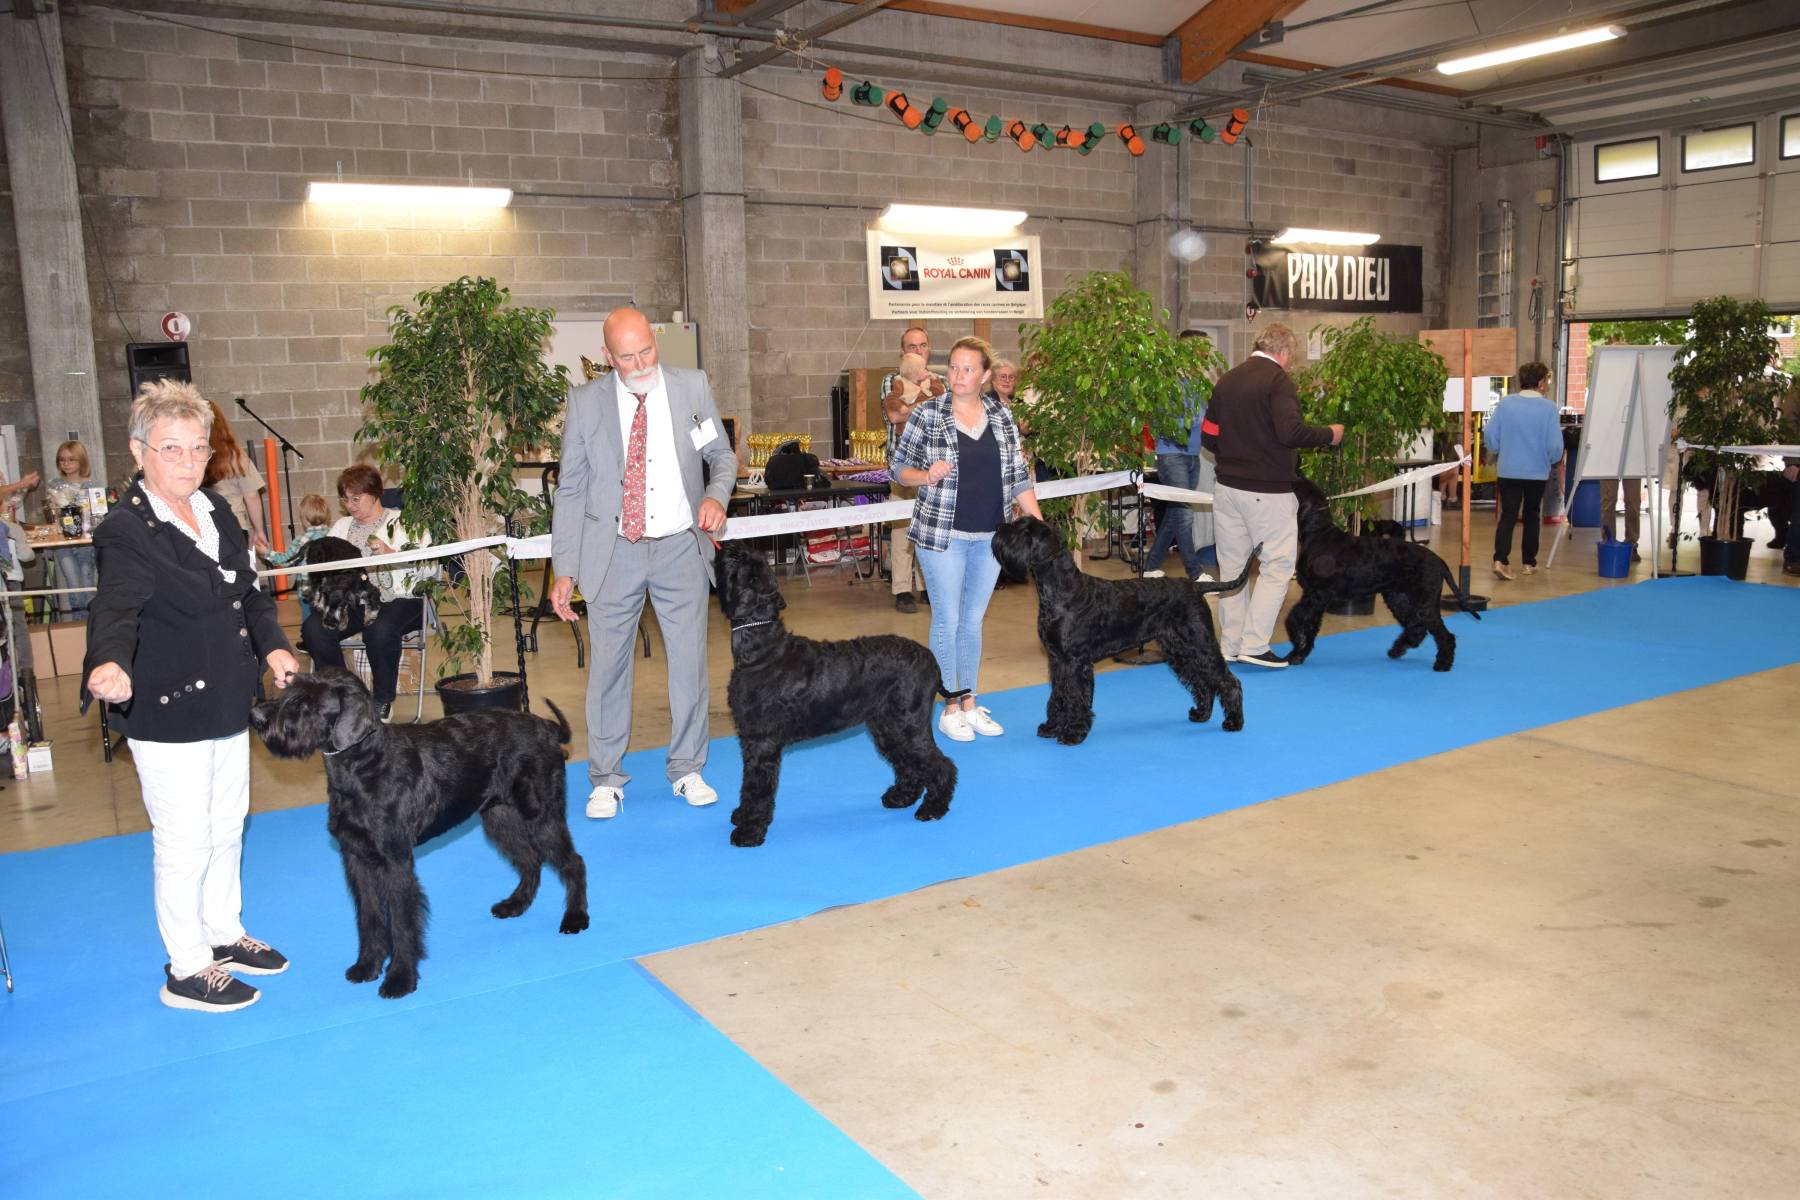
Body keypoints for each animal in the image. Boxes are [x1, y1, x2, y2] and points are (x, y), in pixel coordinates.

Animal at [250, 669, 587, 998]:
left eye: (306, 703)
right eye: (290, 687)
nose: (256, 716)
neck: (362, 764)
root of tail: (546, 727)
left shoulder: (396, 862)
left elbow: (400, 922)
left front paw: (400, 979)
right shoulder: (356, 858)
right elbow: (368, 917)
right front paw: (367, 965)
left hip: (542, 818)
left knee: (573, 862)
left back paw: (575, 918)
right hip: (499, 818)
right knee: (530, 860)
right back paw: (515, 905)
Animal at [715, 543, 956, 848]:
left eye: (746, 567)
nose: (734, 547)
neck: (761, 649)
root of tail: (931, 660)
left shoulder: (761, 743)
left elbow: (755, 788)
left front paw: (749, 830)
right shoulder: (752, 741)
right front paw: (742, 817)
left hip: (908, 726)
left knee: (941, 765)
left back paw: (933, 808)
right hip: (889, 727)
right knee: (910, 765)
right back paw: (901, 797)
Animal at [991, 515, 1247, 745]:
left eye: (1025, 532)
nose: (999, 528)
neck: (1062, 590)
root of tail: (1195, 586)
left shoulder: (1074, 662)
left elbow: (1074, 696)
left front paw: (1072, 733)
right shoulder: (1057, 660)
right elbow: (1058, 695)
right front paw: (1052, 727)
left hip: (1201, 644)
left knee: (1228, 681)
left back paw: (1234, 722)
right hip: (1181, 650)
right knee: (1203, 682)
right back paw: (1201, 714)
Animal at [1287, 478, 1481, 672]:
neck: (1317, 532)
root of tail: (1438, 560)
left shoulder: (1316, 595)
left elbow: (1296, 618)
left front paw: (1295, 650)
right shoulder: (1316, 597)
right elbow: (1309, 626)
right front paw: (1299, 654)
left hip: (1425, 602)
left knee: (1444, 635)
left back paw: (1442, 664)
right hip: (1398, 597)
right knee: (1417, 627)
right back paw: (1396, 650)